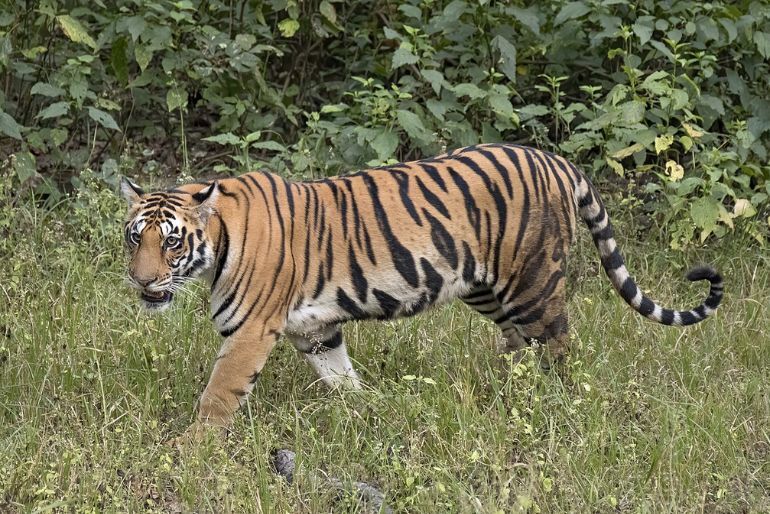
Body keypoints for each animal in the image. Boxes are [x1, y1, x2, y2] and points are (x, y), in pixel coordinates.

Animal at [120, 143, 723, 436]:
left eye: (171, 242)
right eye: (134, 237)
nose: (142, 281)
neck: (217, 244)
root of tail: (556, 160)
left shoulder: (249, 332)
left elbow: (218, 395)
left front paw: (192, 449)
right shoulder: (315, 329)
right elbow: (341, 377)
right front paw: (368, 410)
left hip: (533, 282)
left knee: (558, 346)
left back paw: (554, 403)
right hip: (486, 288)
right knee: (518, 344)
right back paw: (506, 390)